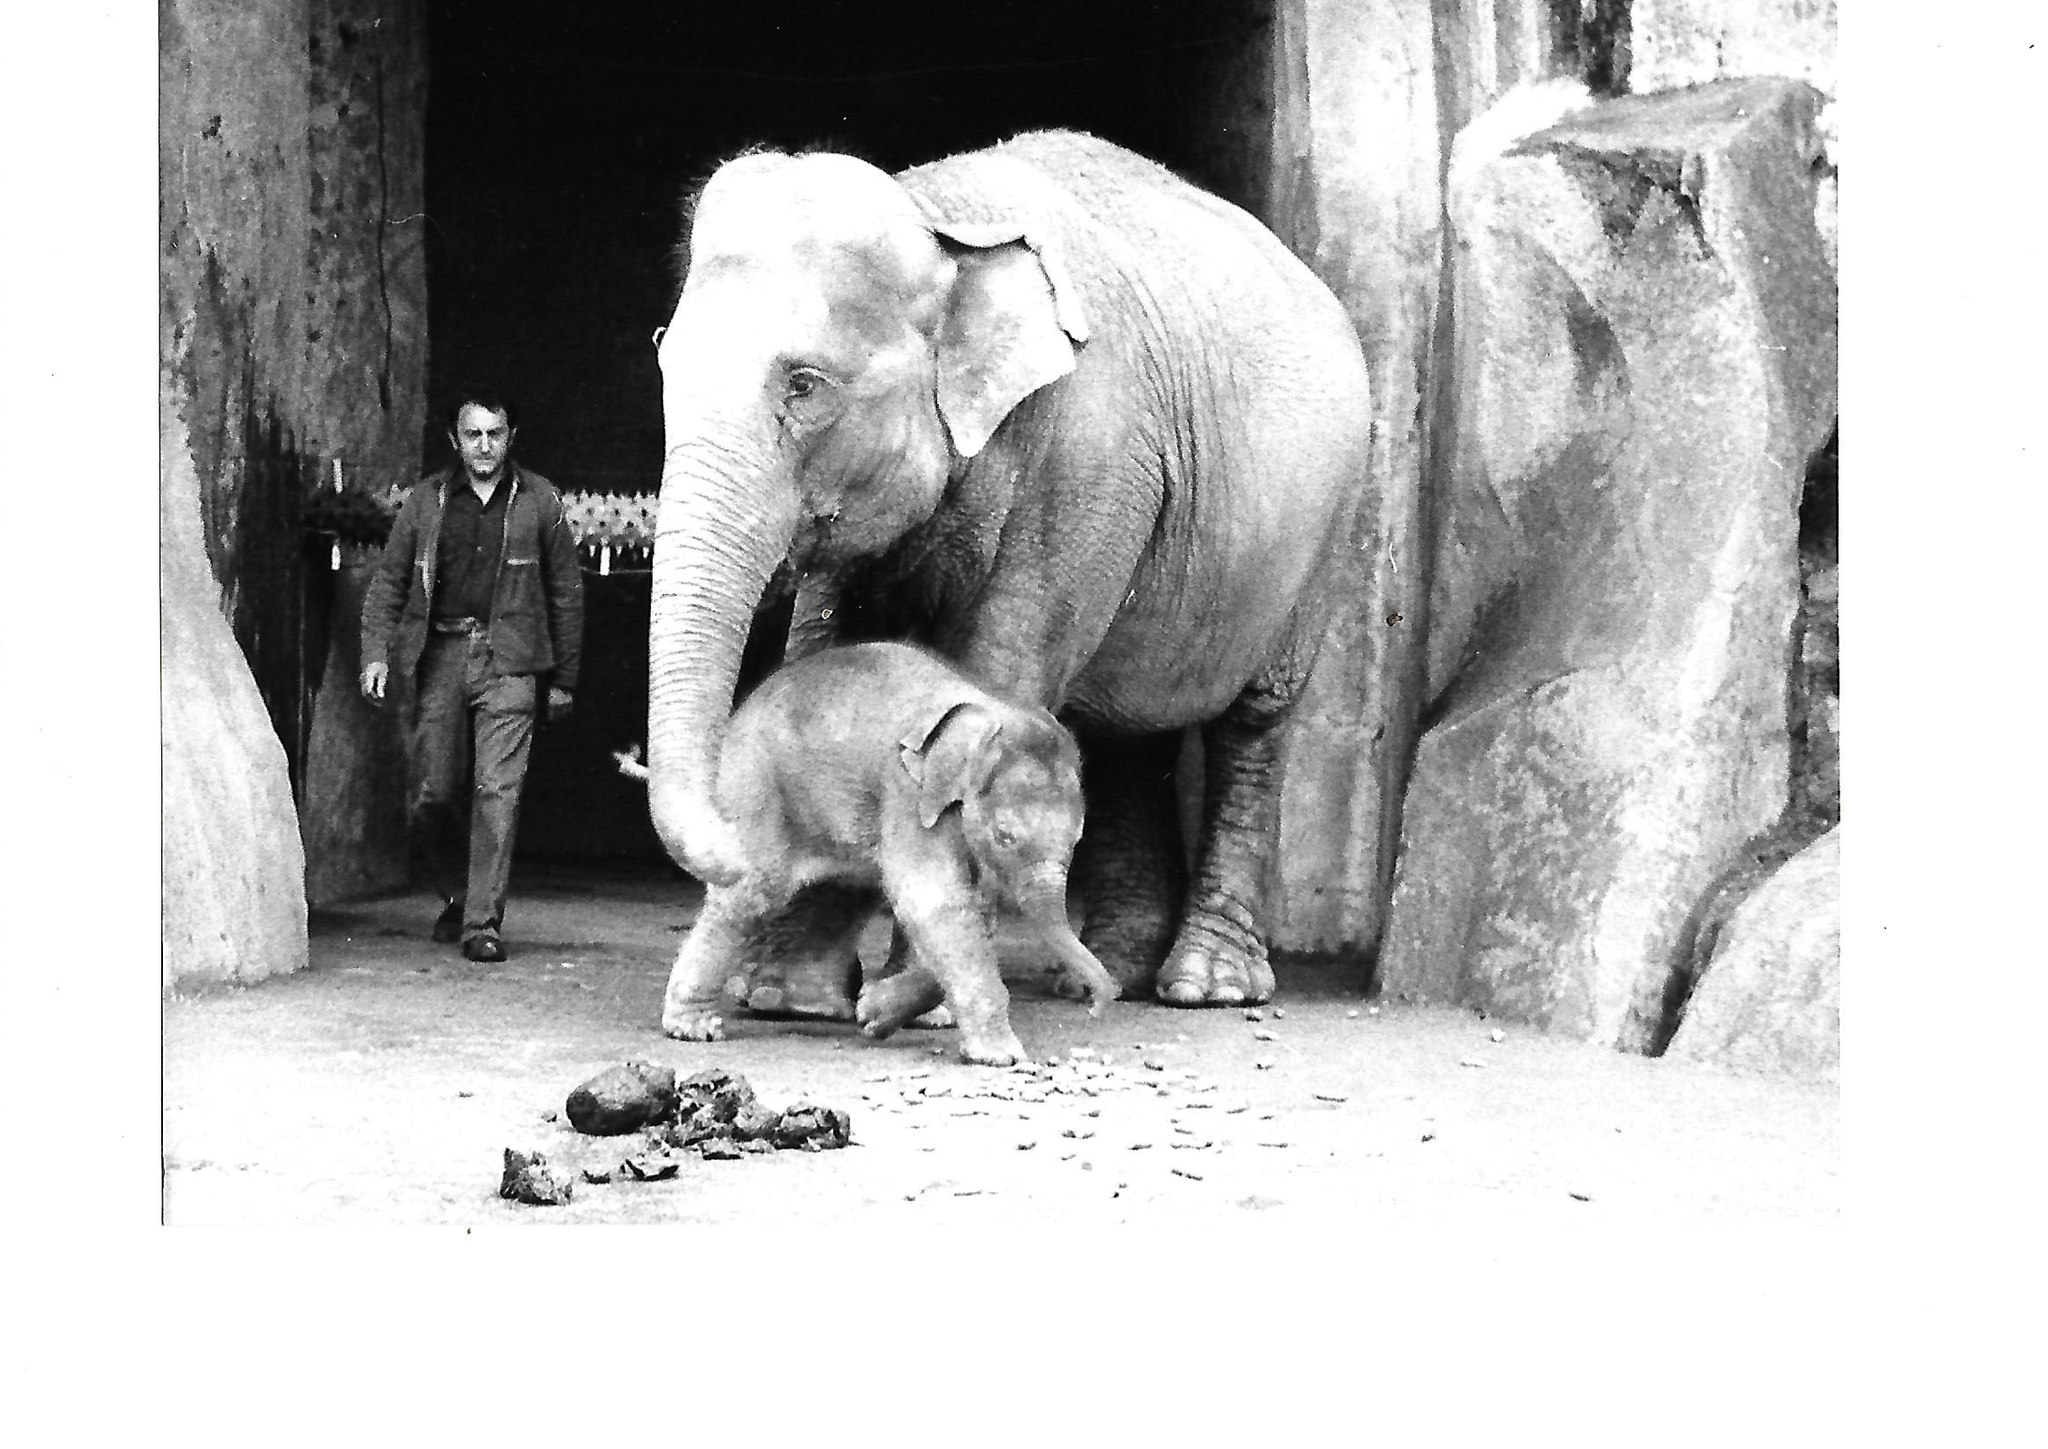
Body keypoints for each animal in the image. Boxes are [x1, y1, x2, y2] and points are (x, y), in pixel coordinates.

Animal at [647, 129, 1368, 1006]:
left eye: (804, 384)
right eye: (663, 359)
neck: (938, 215)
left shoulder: (1090, 455)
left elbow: (999, 666)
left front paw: (907, 995)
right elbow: (833, 662)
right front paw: (792, 995)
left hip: (1323, 527)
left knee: (1255, 720)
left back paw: (1209, 985)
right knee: (1125, 728)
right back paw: (1111, 971)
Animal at [655, 646, 1122, 1064]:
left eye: (1079, 838)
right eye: (1004, 836)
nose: (1096, 1007)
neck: (988, 711)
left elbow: (971, 910)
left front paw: (873, 1012)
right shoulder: (908, 794)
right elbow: (934, 901)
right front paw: (1001, 1057)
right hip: (756, 785)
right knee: (752, 894)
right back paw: (695, 1028)